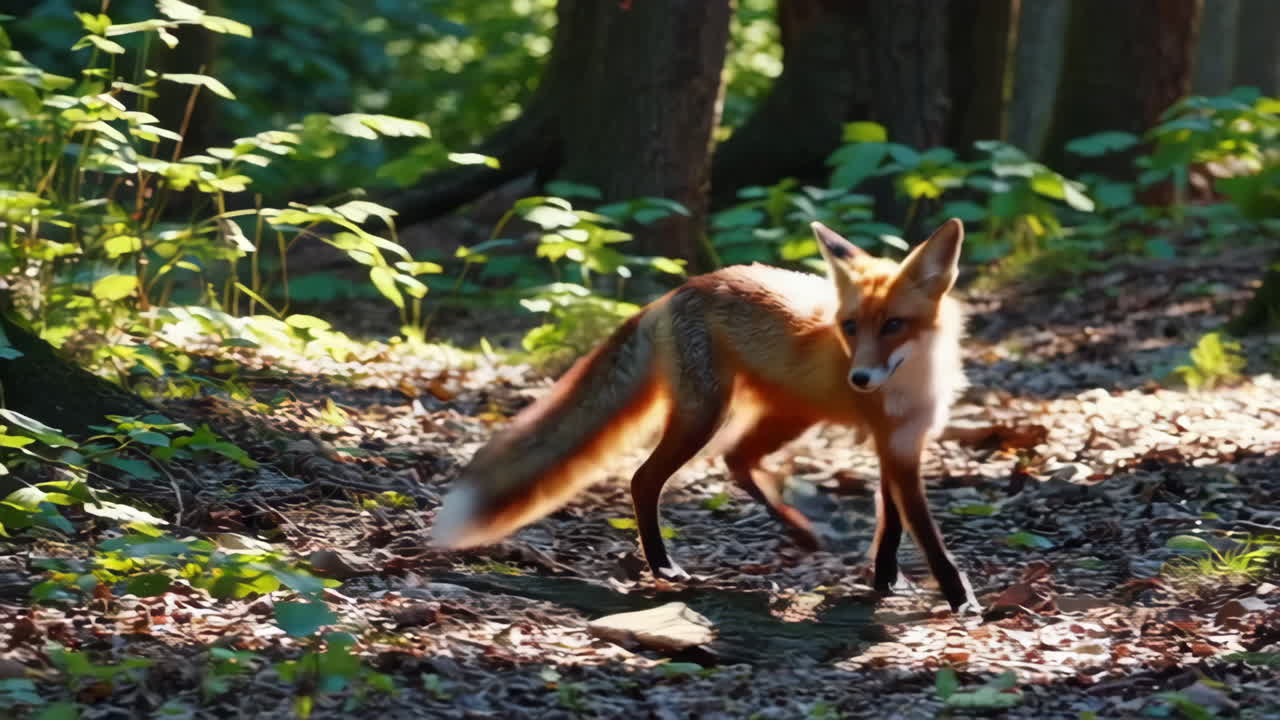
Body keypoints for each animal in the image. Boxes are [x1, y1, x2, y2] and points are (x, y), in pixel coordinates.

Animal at [431, 218, 980, 611]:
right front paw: (961, 600)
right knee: (647, 478)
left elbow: (891, 525)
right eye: (849, 326)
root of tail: (677, 290)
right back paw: (662, 566)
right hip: (708, 416)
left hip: (785, 415)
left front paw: (887, 581)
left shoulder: (902, 441)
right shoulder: (896, 447)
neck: (916, 380)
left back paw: (799, 530)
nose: (860, 379)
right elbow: (927, 534)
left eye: (893, 325)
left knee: (736, 460)